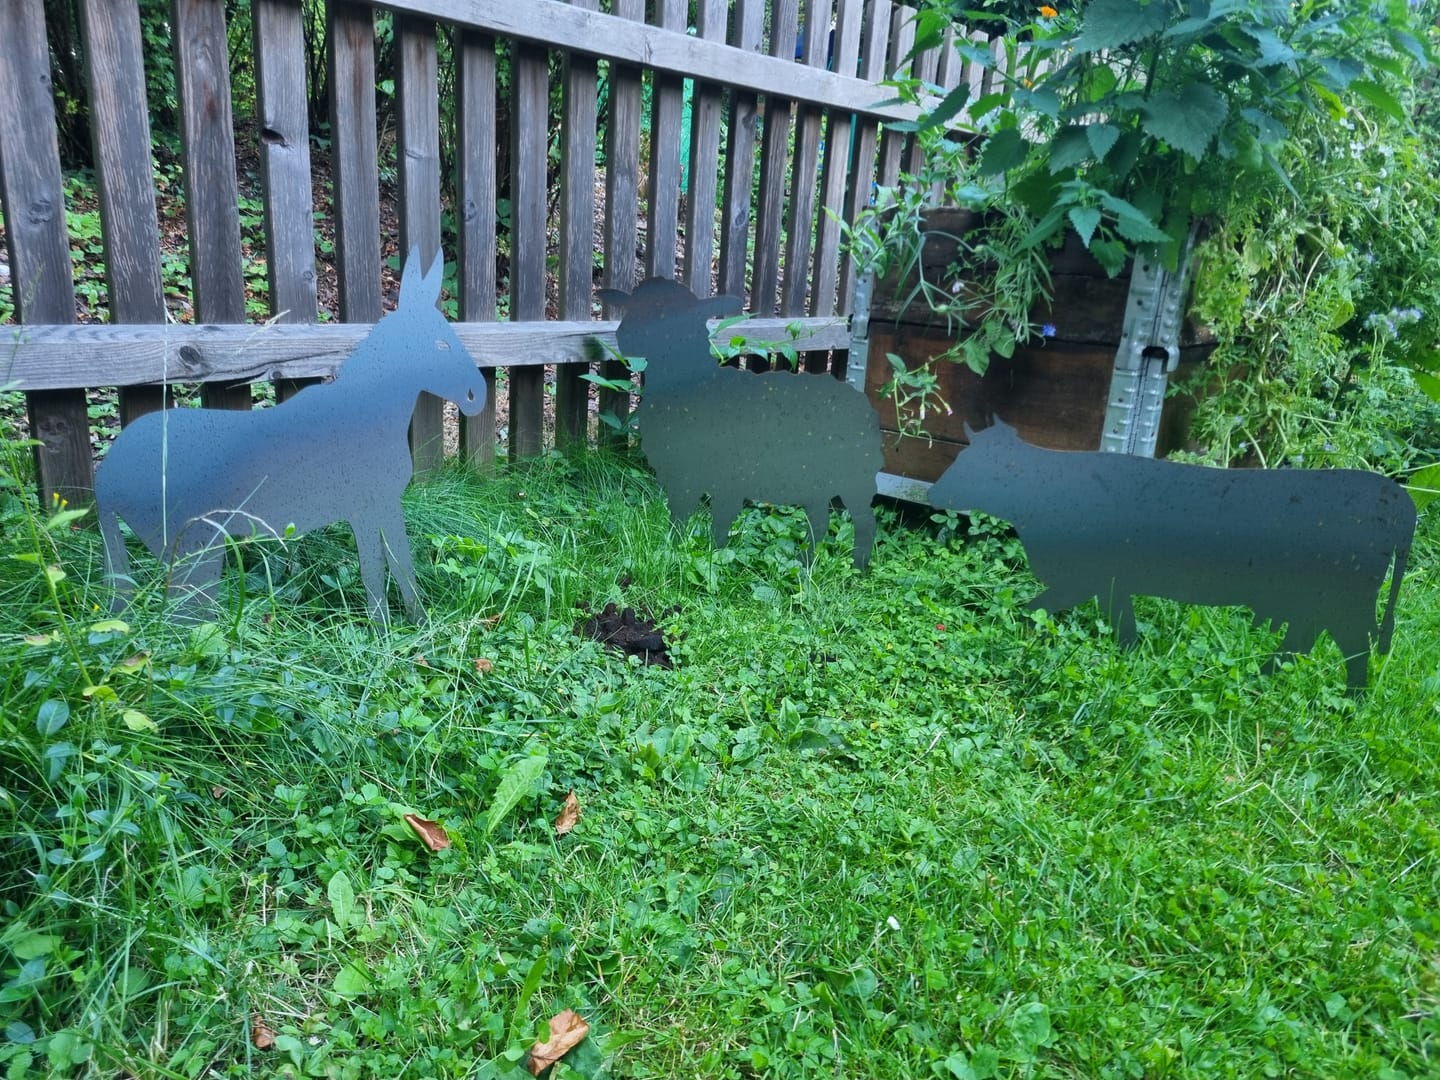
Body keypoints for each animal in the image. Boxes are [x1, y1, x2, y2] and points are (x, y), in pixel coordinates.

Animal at [600, 278, 882, 568]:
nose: (625, 336)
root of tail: (863, 402)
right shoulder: (683, 474)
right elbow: (681, 518)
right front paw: (678, 551)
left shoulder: (723, 476)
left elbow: (715, 521)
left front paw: (711, 559)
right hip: (817, 479)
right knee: (820, 522)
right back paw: (804, 564)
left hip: (854, 475)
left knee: (864, 522)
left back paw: (858, 568)